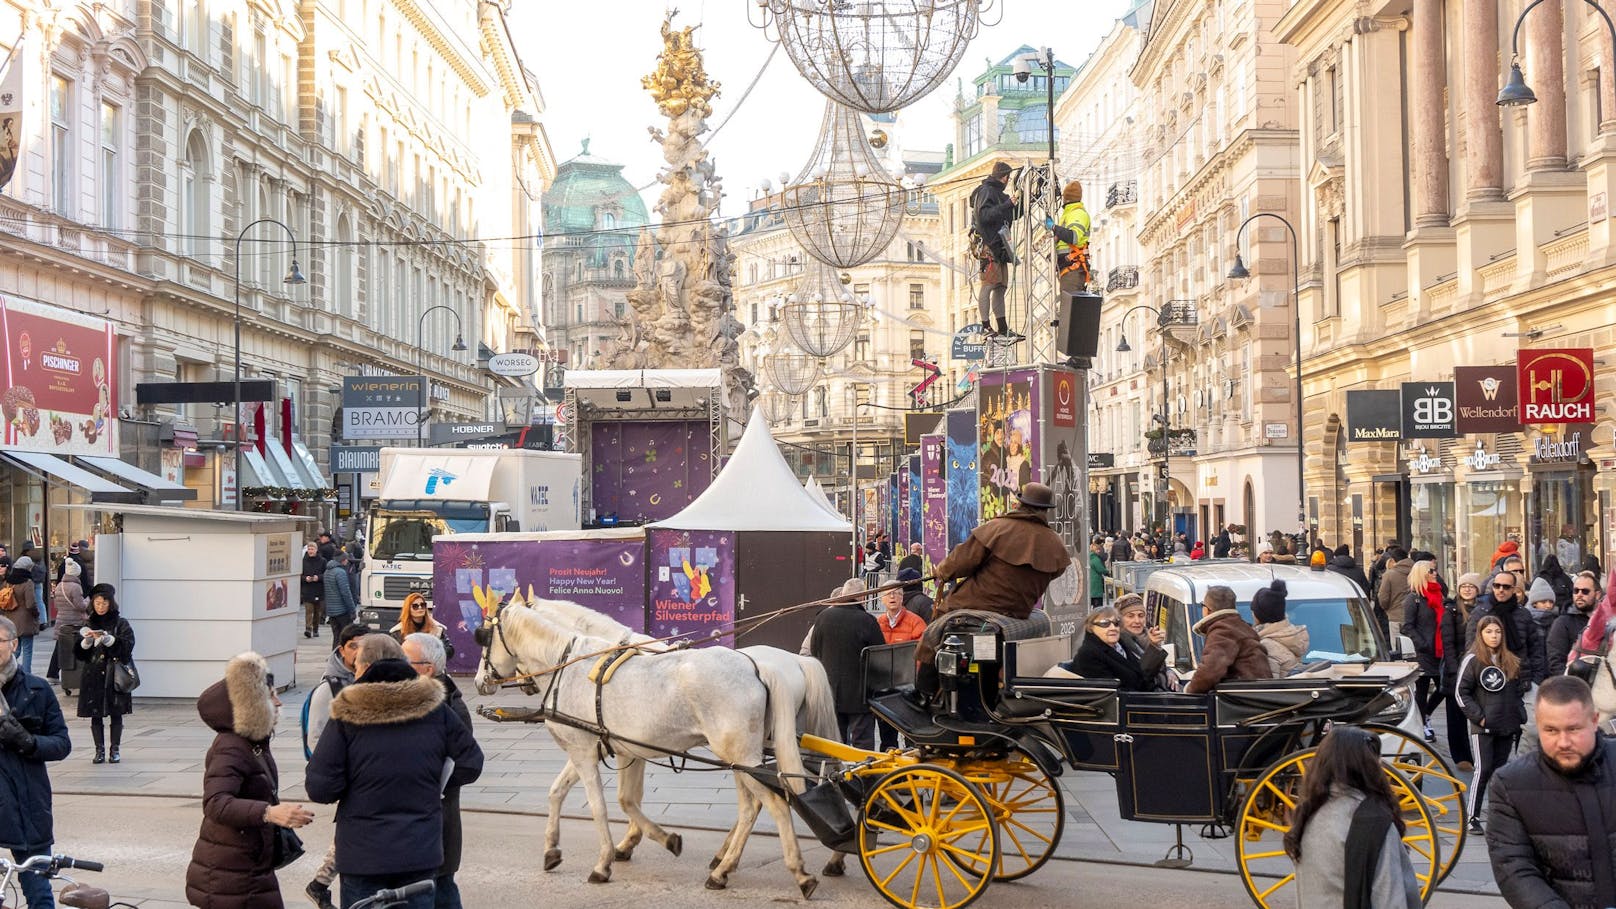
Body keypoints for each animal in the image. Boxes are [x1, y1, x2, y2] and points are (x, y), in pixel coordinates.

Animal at [468, 595, 820, 892]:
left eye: (483, 637)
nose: (479, 682)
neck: (568, 665)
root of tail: (757, 668)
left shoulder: (584, 751)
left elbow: (600, 806)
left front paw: (604, 861)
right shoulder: (605, 749)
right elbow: (572, 794)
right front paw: (554, 849)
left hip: (740, 756)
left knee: (773, 803)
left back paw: (797, 872)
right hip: (741, 758)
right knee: (751, 806)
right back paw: (724, 867)